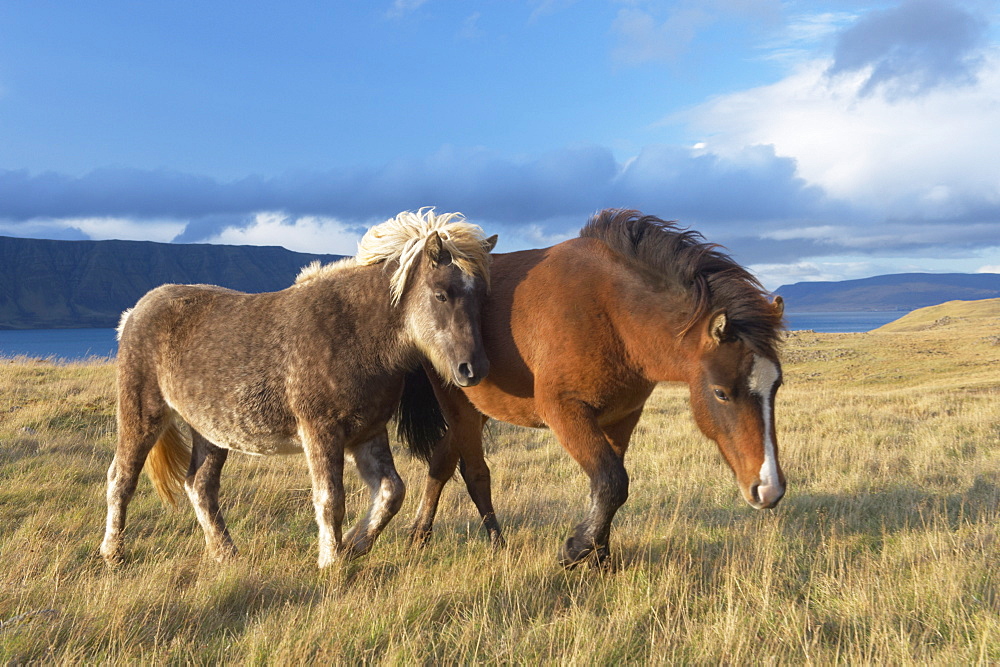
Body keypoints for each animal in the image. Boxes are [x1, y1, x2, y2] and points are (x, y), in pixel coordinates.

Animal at [99, 209, 498, 568]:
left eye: (481, 297)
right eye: (441, 294)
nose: (473, 369)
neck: (355, 332)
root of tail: (135, 311)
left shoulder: (367, 433)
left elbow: (391, 493)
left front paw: (353, 545)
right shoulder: (321, 431)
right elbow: (330, 498)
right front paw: (331, 562)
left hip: (210, 431)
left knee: (200, 486)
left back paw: (225, 555)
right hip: (142, 415)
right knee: (122, 478)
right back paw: (113, 554)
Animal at [400, 209, 788, 568]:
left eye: (776, 387)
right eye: (721, 393)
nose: (769, 489)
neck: (612, 312)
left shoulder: (621, 418)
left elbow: (608, 486)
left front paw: (599, 556)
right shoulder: (564, 411)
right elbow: (612, 482)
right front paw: (575, 550)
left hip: (479, 409)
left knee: (441, 460)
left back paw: (419, 535)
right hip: (458, 405)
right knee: (473, 472)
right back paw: (493, 542)